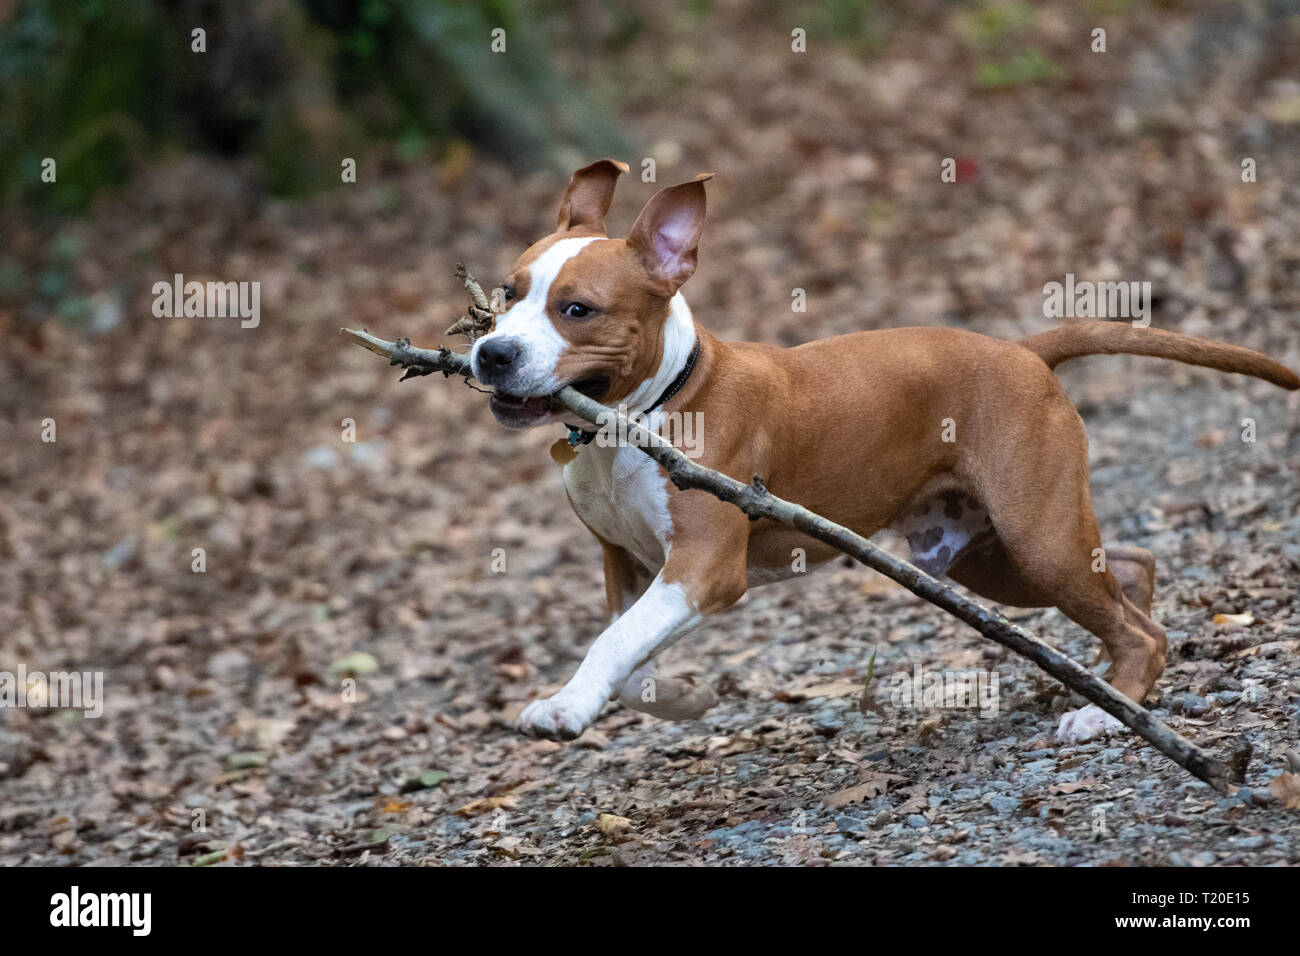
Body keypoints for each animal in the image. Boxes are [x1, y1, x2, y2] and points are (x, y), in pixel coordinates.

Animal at [470, 160, 1300, 743]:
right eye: (504, 296)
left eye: (578, 310)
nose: (490, 353)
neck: (643, 414)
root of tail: (1022, 351)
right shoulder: (630, 564)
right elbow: (629, 651)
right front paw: (682, 696)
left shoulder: (703, 567)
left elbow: (616, 642)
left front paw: (567, 705)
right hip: (987, 557)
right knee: (1132, 567)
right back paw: (1113, 674)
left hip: (1035, 537)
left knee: (1138, 625)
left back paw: (1108, 710)